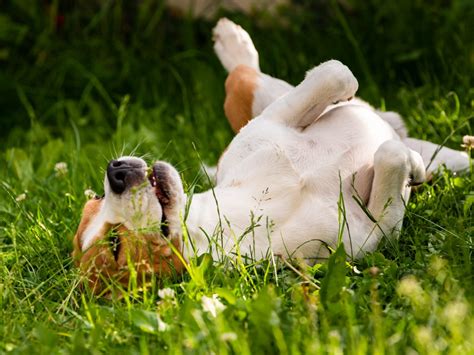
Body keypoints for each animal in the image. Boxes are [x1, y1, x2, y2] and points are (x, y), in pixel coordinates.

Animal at [73, 18, 470, 294]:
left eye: (96, 199)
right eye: (114, 244)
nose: (115, 171)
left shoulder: (272, 122)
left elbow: (336, 74)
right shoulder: (375, 231)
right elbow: (390, 156)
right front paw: (410, 168)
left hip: (265, 100)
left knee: (249, 79)